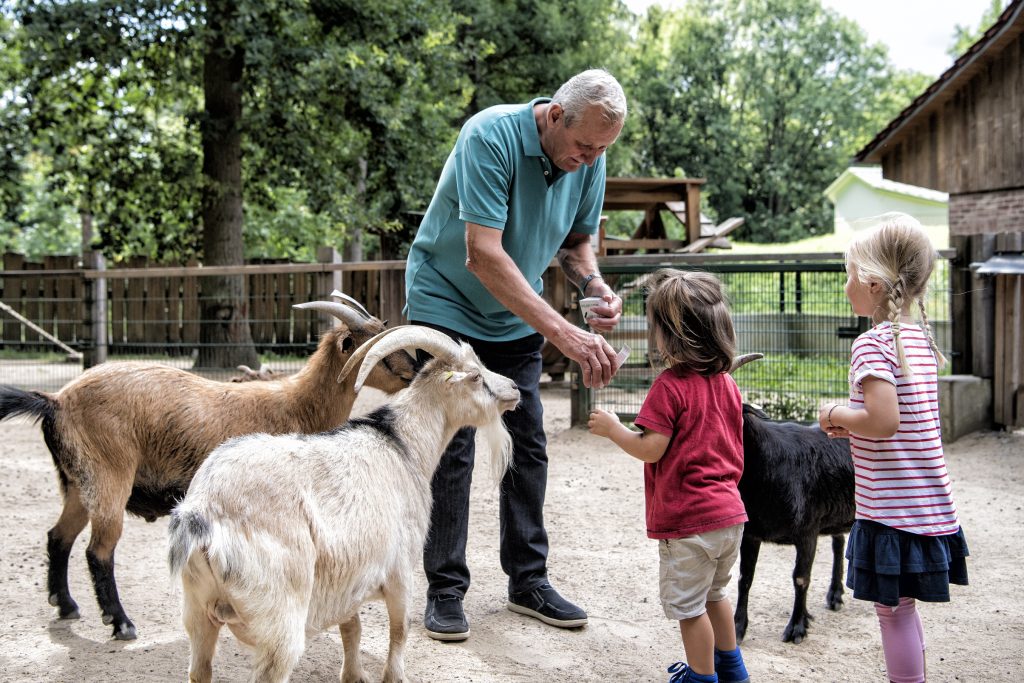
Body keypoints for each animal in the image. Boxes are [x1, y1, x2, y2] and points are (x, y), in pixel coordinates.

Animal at [1, 296, 415, 643]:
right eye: (372, 345)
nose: (414, 368)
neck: (296, 404)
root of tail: (56, 400)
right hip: (108, 476)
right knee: (98, 550)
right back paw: (120, 623)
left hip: (77, 481)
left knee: (58, 536)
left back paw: (66, 605)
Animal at [169, 325, 520, 683]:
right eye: (475, 376)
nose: (515, 389)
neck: (403, 445)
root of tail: (202, 513)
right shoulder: (400, 572)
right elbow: (399, 631)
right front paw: (393, 676)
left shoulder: (347, 580)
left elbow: (352, 627)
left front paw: (353, 675)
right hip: (279, 617)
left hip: (197, 611)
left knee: (199, 669)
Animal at [737, 405, 856, 647]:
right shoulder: (751, 532)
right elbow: (745, 578)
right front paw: (737, 629)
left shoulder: (807, 531)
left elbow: (801, 578)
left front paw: (796, 629)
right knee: (838, 542)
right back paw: (835, 595)